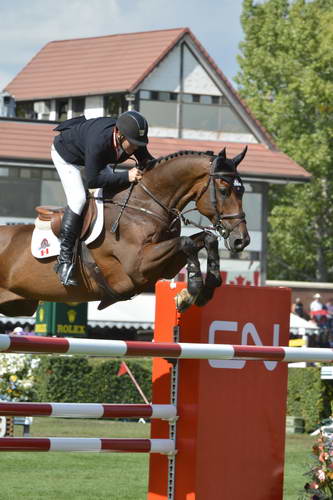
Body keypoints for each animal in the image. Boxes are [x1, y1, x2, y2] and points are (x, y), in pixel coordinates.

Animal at [0, 146, 249, 316]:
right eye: (224, 190)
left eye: (243, 191)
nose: (242, 241)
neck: (144, 206)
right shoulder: (138, 266)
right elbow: (186, 242)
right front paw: (192, 291)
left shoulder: (164, 268)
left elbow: (206, 239)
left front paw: (203, 289)